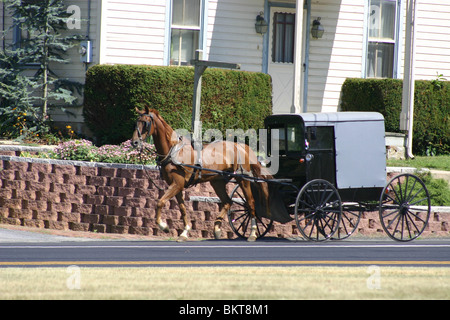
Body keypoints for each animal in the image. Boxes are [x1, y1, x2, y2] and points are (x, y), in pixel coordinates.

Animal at [132, 106, 268, 241]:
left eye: (145, 123)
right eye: (136, 122)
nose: (134, 142)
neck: (174, 151)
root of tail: (240, 146)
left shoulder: (177, 184)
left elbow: (160, 202)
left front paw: (163, 226)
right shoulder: (177, 186)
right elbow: (182, 208)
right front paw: (184, 232)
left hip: (243, 180)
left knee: (250, 203)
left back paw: (252, 233)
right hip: (217, 182)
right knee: (227, 202)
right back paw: (217, 229)